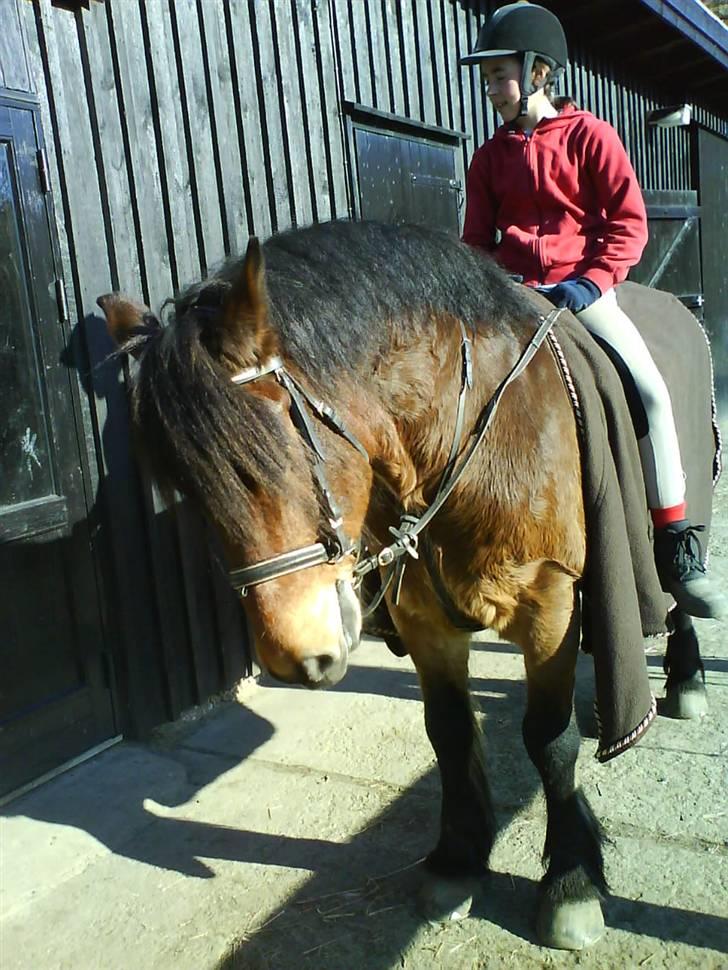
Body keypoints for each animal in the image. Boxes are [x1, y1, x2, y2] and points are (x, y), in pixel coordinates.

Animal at [98, 219, 656, 944]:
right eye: (189, 488)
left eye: (268, 453)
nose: (296, 657)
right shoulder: (425, 619)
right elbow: (449, 730)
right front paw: (458, 859)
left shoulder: (551, 604)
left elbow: (549, 740)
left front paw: (571, 880)